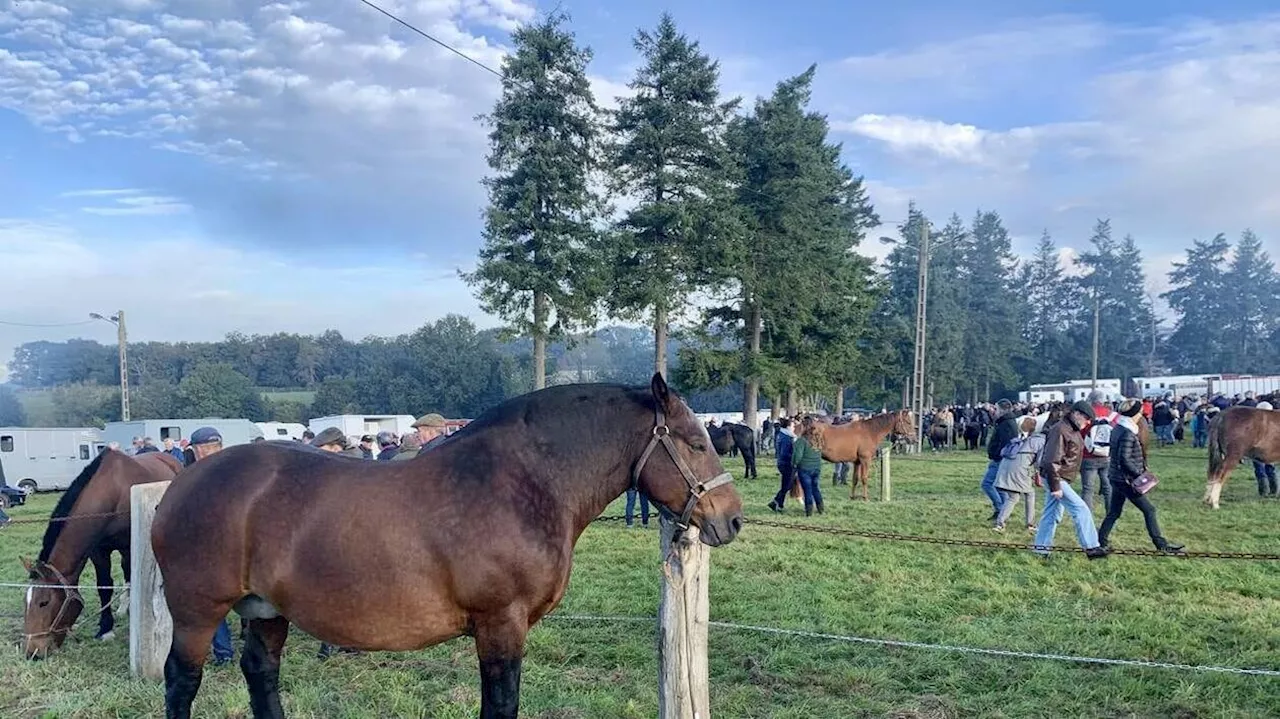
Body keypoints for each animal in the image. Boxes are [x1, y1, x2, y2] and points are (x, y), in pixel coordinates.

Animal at [20, 450, 183, 660]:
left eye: (44, 602)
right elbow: (103, 586)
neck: (112, 490)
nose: (32, 652)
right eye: (26, 602)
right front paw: (105, 628)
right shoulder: (97, 550)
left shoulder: (128, 544)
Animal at [151, 376, 747, 716]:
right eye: (696, 442)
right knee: (181, 681)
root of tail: (180, 484)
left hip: (267, 610)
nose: (733, 518)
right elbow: (501, 704)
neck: (521, 483)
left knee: (261, 674)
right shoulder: (500, 623)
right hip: (198, 611)